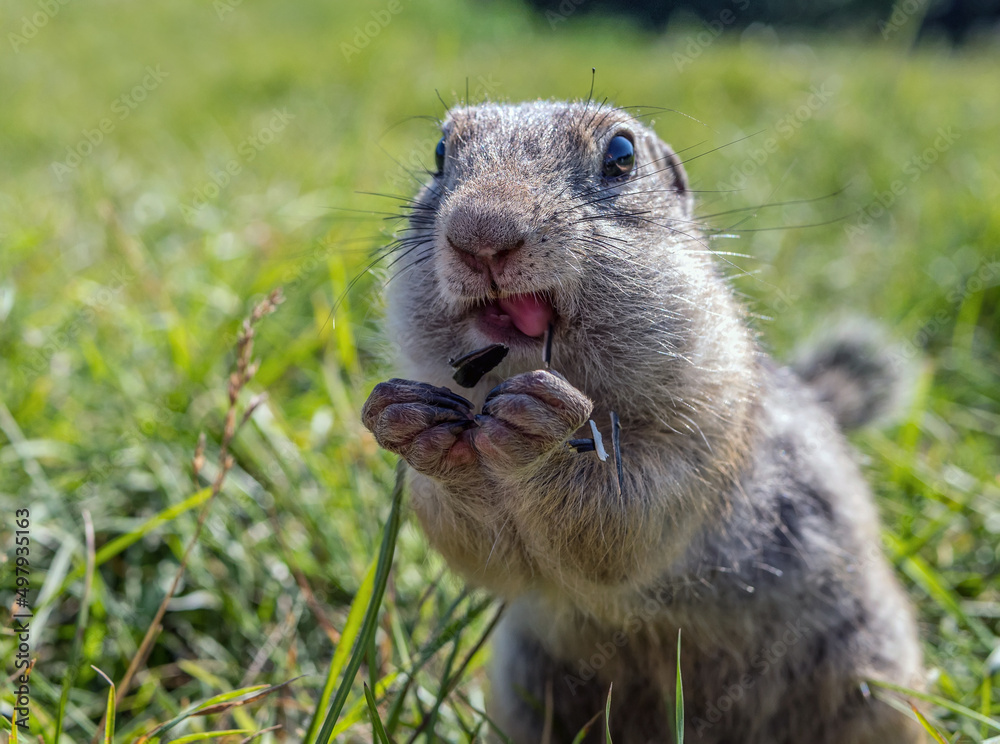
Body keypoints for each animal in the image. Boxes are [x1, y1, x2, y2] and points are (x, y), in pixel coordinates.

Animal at [360, 100, 920, 744]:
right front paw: (412, 426)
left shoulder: (707, 436)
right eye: (439, 154)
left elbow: (626, 520)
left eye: (622, 155)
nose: (481, 233)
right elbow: (487, 554)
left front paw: (539, 438)